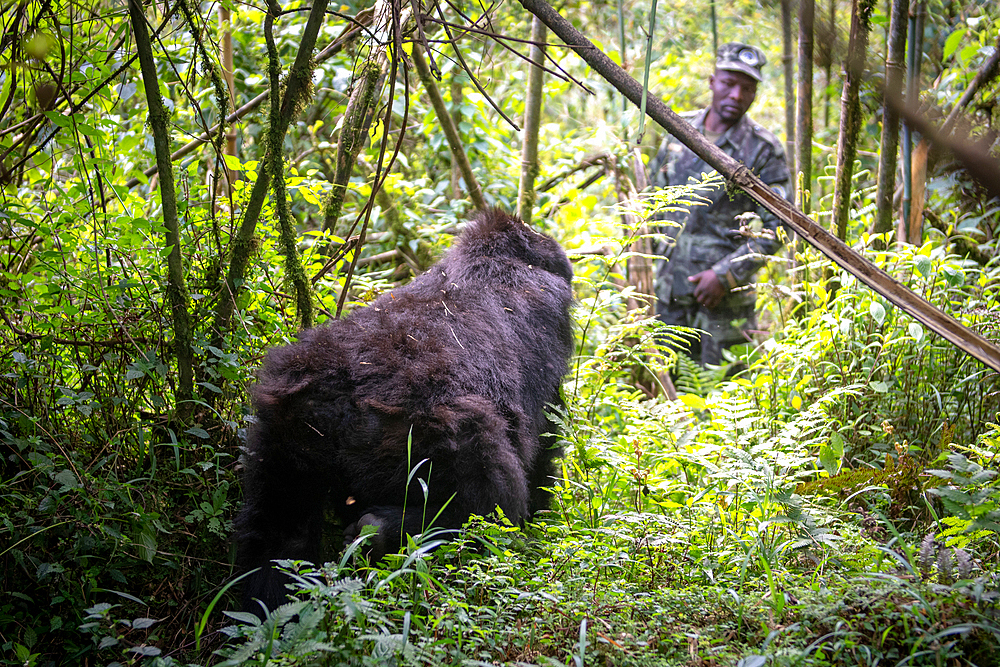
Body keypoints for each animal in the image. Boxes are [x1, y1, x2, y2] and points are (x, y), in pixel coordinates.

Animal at [235, 210, 576, 616]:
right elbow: (543, 449)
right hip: (425, 431)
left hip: (286, 426)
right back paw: (391, 530)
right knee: (489, 500)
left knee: (281, 534)